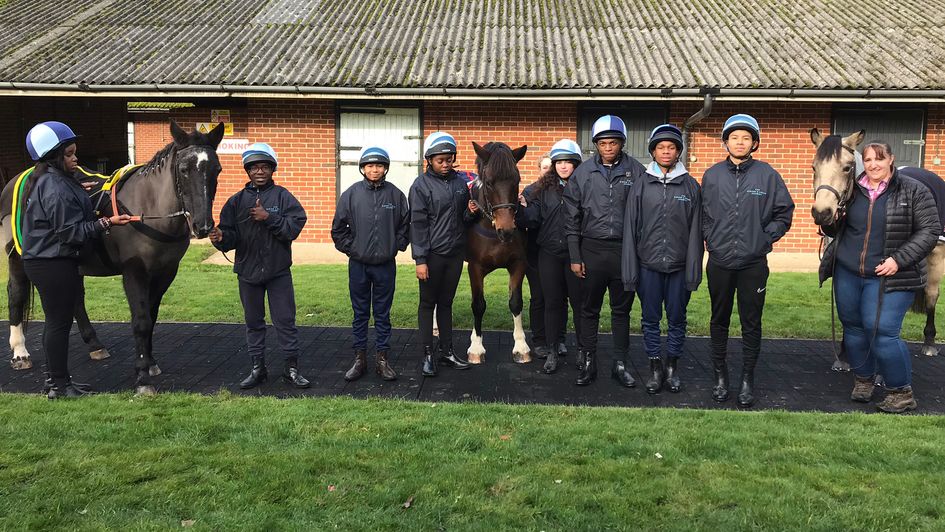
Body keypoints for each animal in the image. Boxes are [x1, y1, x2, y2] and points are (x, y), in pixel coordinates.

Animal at [1, 121, 223, 394]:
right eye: (184, 169)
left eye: (216, 169)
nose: (203, 226)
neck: (148, 209)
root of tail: (19, 179)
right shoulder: (134, 271)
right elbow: (141, 321)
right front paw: (142, 378)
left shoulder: (165, 272)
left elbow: (151, 315)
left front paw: (150, 363)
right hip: (18, 258)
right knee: (16, 294)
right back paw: (20, 352)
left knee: (76, 300)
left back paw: (94, 344)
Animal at [464, 141, 532, 366]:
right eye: (489, 182)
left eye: (517, 180)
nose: (507, 229)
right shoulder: (475, 267)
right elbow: (478, 305)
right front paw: (476, 348)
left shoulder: (518, 263)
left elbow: (516, 302)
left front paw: (521, 346)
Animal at [808, 129, 940, 362]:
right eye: (814, 167)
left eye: (847, 167)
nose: (822, 212)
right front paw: (845, 353)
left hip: (937, 256)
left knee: (931, 294)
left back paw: (930, 342)